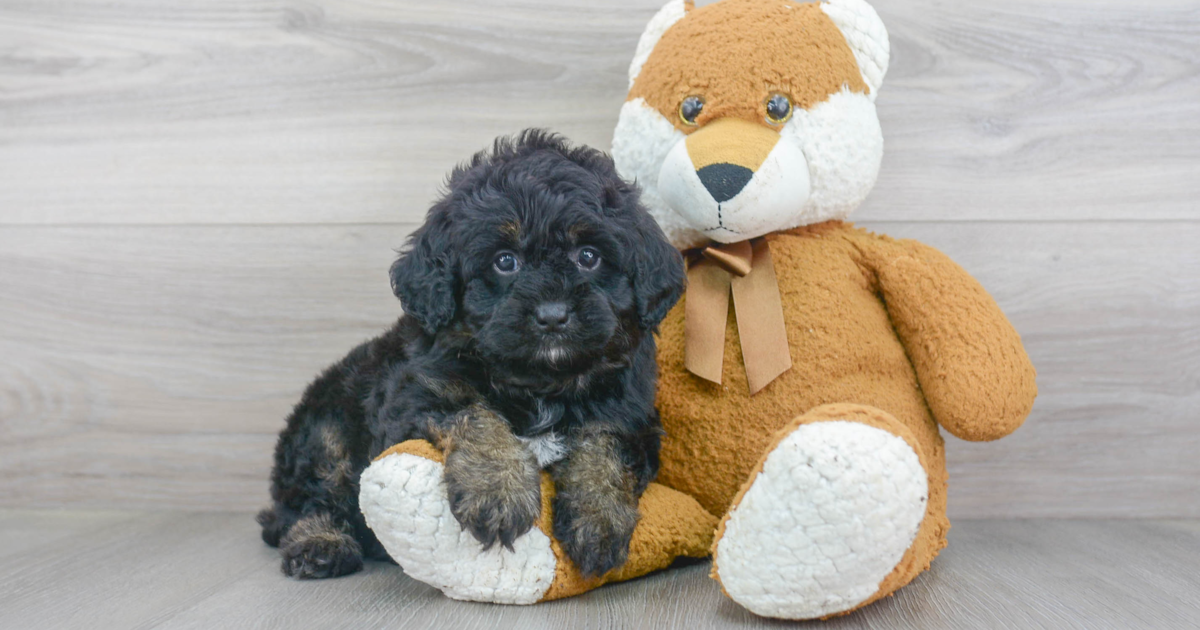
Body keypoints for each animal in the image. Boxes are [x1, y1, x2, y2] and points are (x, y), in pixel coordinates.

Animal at [258, 129, 691, 580]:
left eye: (588, 256)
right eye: (505, 261)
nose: (553, 316)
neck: (542, 385)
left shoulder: (632, 414)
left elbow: (605, 443)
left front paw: (599, 518)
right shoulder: (418, 394)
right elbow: (478, 415)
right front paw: (498, 492)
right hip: (326, 428)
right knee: (306, 498)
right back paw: (319, 543)